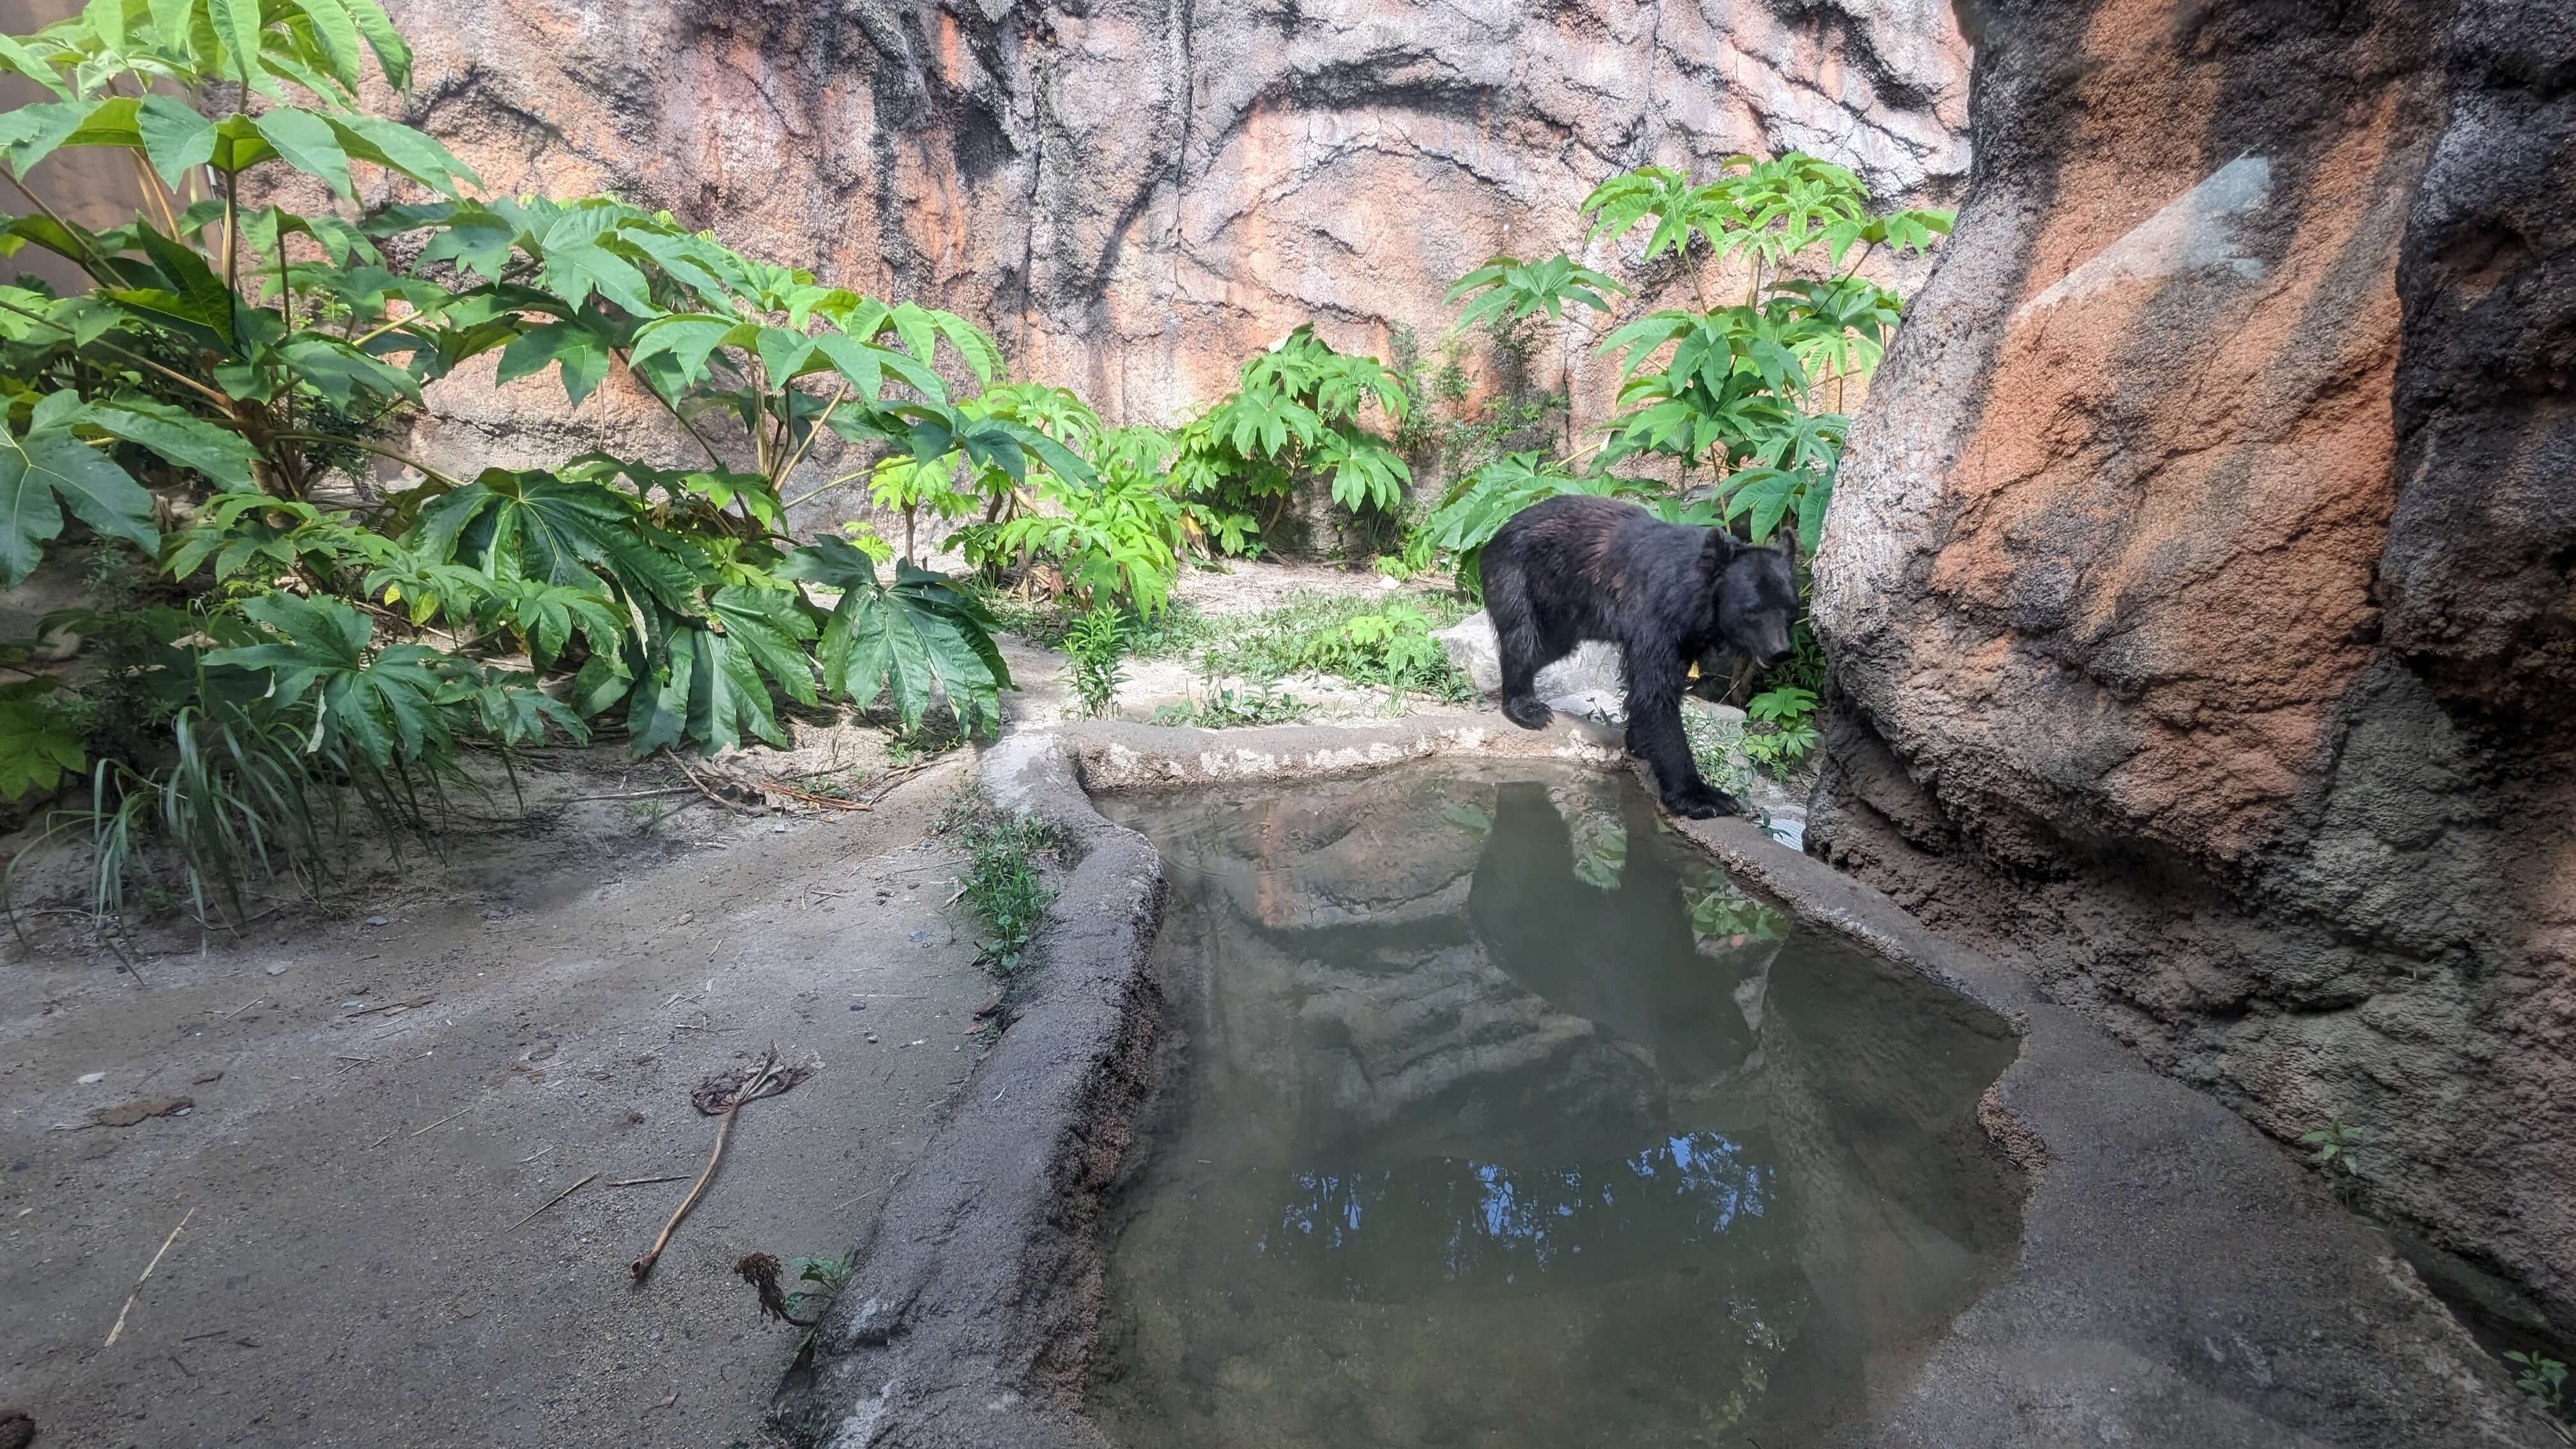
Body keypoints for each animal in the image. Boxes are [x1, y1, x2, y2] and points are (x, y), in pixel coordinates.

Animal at [1480, 494, 1799, 819]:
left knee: (1547, 648)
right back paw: (1527, 708)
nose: (1780, 651)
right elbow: (1655, 693)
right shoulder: (1656, 617)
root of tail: (1497, 531)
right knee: (1523, 638)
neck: (1696, 600)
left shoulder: (1686, 637)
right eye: (1753, 611)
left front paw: (1639, 742)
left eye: (1791, 609)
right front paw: (1704, 797)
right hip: (1519, 577)